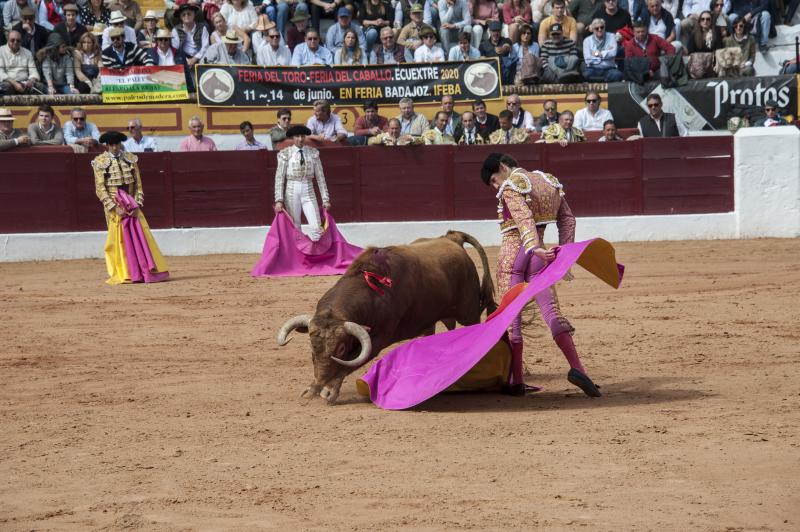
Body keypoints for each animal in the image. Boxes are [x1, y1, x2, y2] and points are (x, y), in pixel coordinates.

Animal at [278, 230, 496, 404]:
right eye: (312, 346)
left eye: (340, 348)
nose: (320, 382)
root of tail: (452, 238)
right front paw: (313, 389)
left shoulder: (379, 338)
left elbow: (352, 361)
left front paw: (329, 389)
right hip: (430, 319)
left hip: (468, 312)